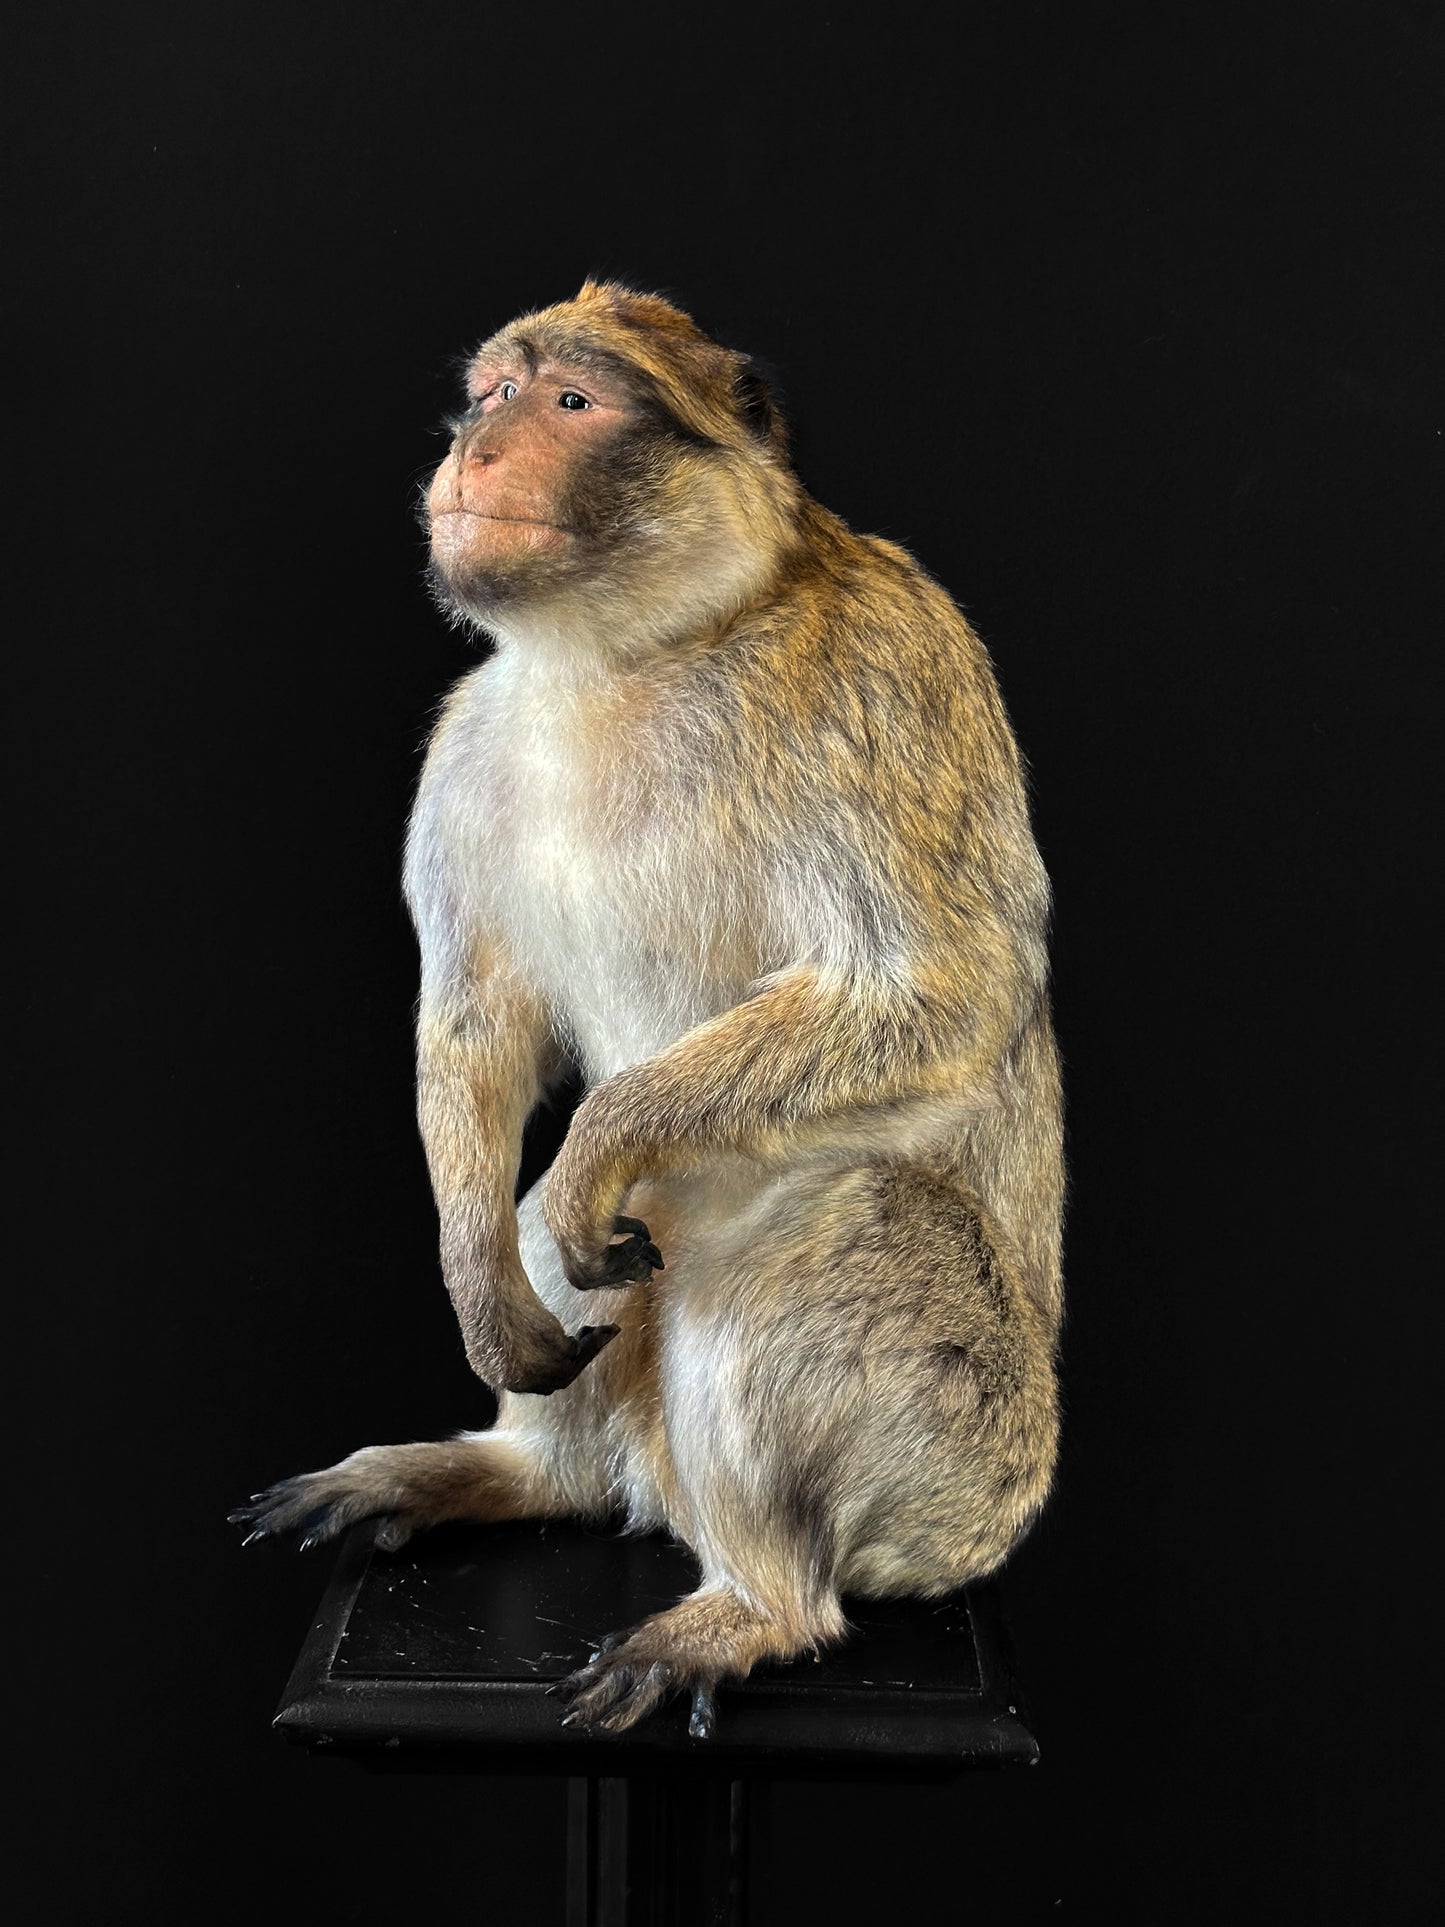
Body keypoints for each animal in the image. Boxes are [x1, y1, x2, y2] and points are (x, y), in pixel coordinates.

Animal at [232, 282, 1064, 1741]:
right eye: (495, 392)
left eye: (572, 404)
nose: (476, 446)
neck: (632, 650)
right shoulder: (467, 739)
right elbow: (476, 1026)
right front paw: (480, 1269)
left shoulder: (878, 675)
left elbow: (942, 988)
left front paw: (605, 1139)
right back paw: (517, 1473)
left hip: (966, 1473)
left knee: (815, 1240)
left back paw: (763, 1602)